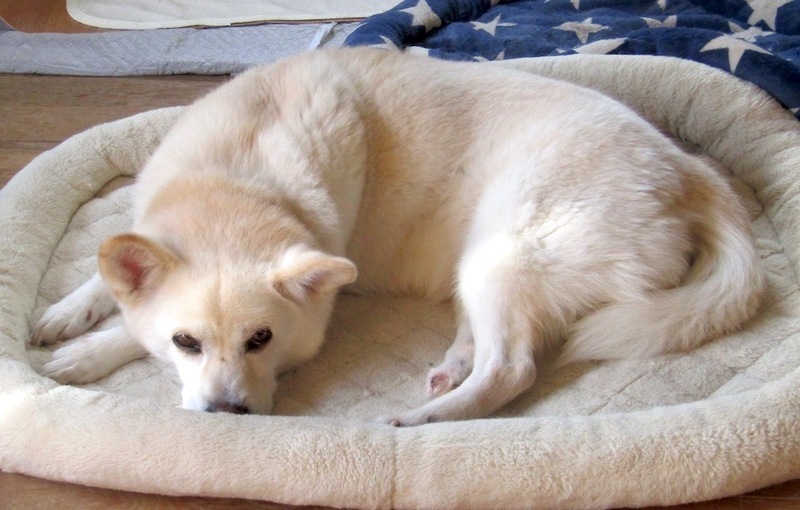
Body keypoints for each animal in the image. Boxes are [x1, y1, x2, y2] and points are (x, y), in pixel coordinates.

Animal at [30, 48, 764, 426]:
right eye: (187, 343)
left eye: (261, 339)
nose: (227, 413)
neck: (235, 180)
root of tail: (688, 170)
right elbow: (108, 275)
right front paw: (66, 318)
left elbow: (131, 328)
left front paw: (87, 353)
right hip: (480, 264)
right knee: (489, 345)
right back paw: (451, 368)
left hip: (499, 255)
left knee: (513, 369)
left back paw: (421, 423)